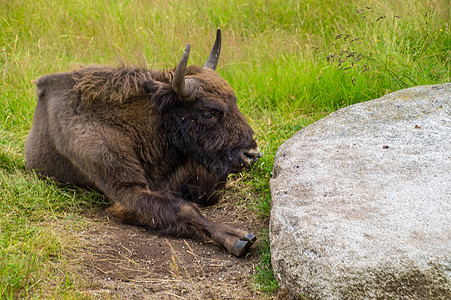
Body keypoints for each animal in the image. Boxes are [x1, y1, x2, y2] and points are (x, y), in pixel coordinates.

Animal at [24, 29, 264, 256]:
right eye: (208, 112)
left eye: (234, 101)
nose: (252, 153)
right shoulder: (126, 189)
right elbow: (185, 209)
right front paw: (238, 238)